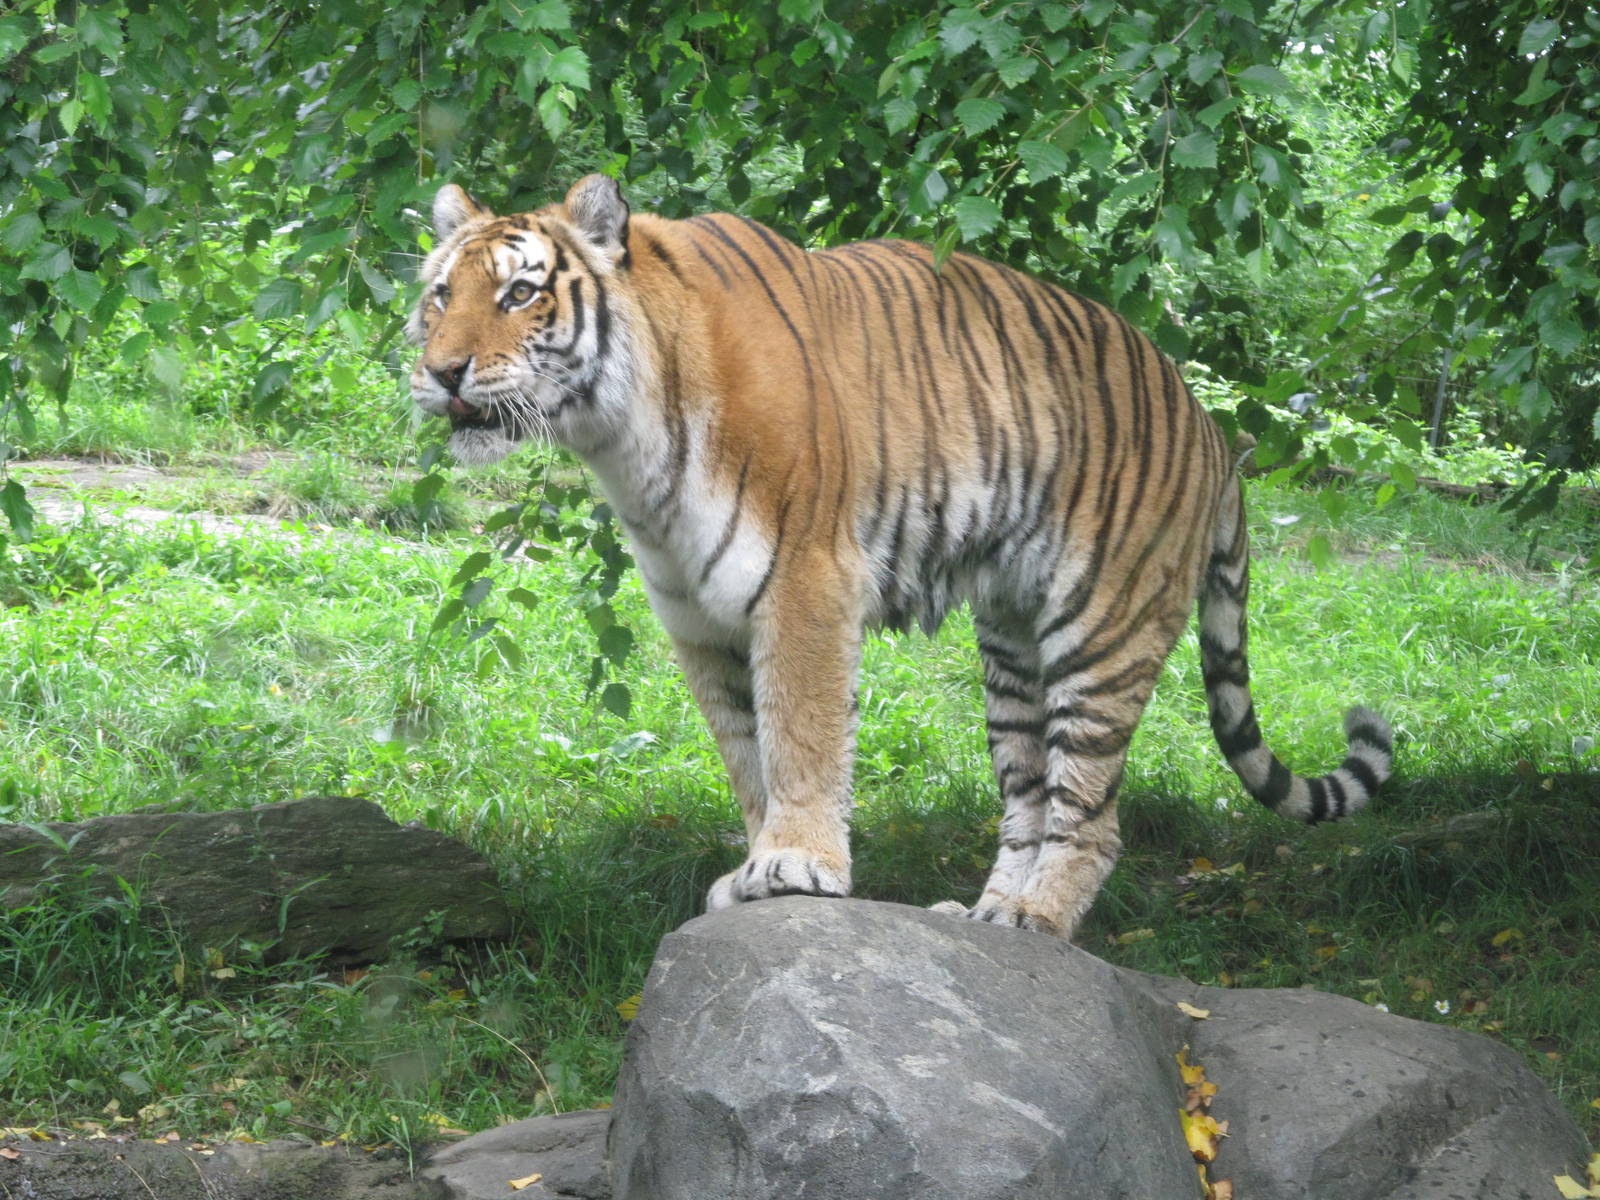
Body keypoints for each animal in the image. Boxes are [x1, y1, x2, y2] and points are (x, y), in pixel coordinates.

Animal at [407, 174, 1394, 937]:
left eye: (520, 294)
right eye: (440, 296)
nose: (443, 372)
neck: (619, 438)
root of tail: (1212, 429)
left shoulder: (805, 579)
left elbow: (800, 735)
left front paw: (796, 863)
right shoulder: (697, 617)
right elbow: (747, 753)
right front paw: (756, 866)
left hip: (1105, 627)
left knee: (1092, 813)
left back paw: (1040, 919)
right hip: (1011, 646)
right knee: (1030, 798)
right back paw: (989, 918)